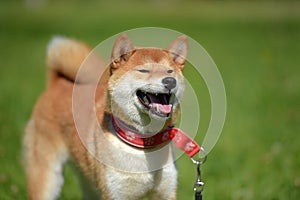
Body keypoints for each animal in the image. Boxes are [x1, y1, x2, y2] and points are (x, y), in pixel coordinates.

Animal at [23, 33, 188, 199]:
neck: (143, 143)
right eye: (144, 71)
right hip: (47, 179)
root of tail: (56, 83)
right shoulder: (116, 193)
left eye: (170, 71)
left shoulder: (166, 191)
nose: (170, 81)